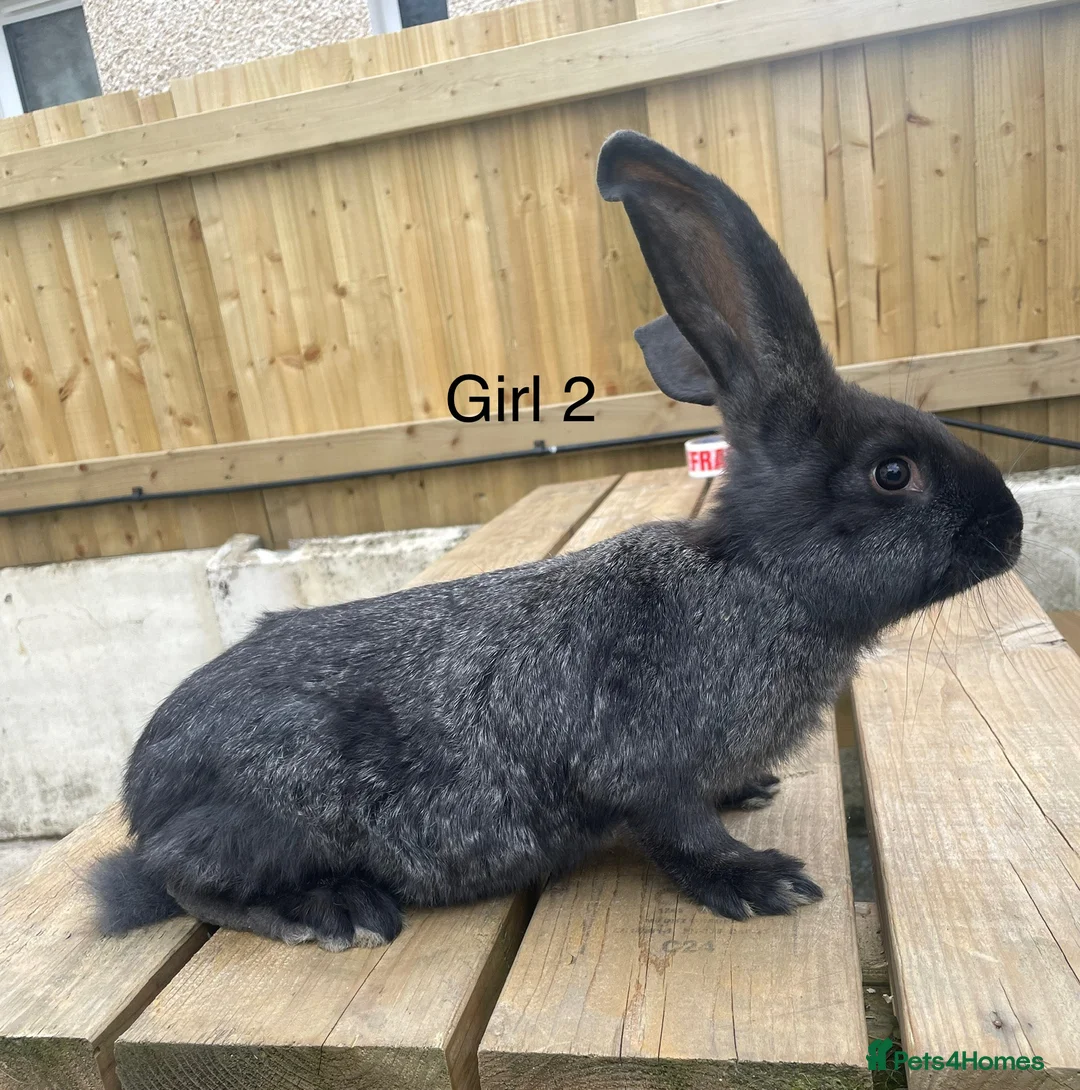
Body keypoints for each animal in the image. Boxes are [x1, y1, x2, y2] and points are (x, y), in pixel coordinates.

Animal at [92, 130, 1022, 951]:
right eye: (893, 473)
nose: (1009, 529)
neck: (756, 577)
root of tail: (147, 796)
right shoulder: (643, 768)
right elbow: (681, 833)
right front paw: (762, 879)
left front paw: (752, 793)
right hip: (274, 815)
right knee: (187, 881)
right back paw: (327, 912)